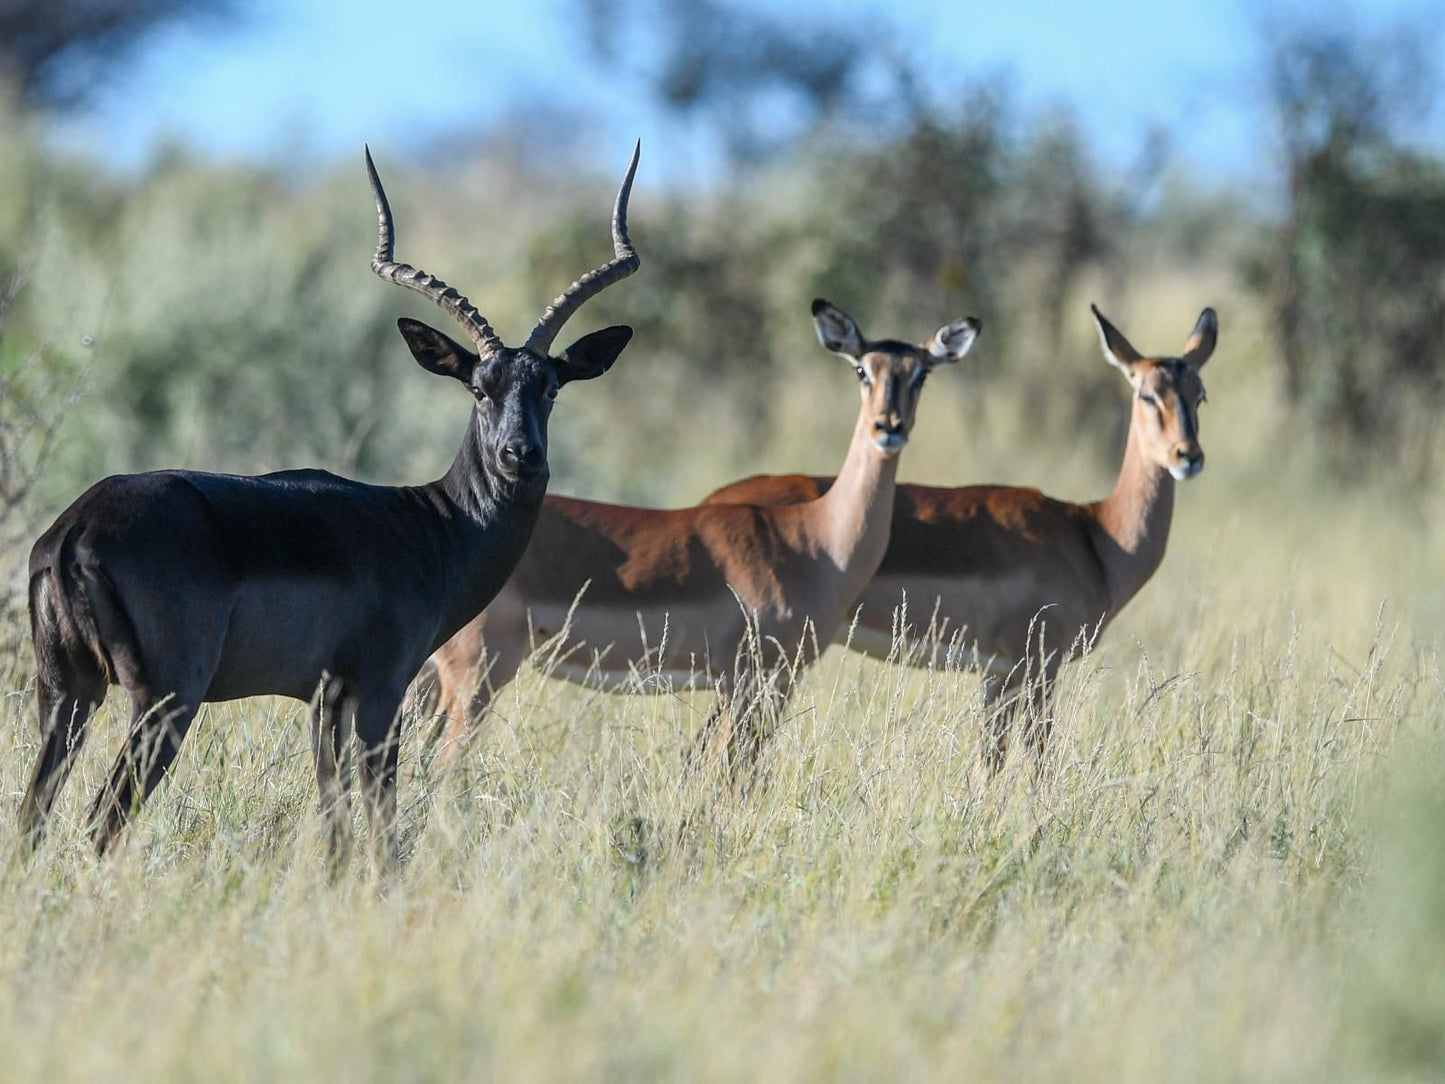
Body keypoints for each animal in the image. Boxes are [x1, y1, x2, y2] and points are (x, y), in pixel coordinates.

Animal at [19, 144, 644, 861]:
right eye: (478, 387)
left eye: (550, 387)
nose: (521, 454)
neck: (434, 525)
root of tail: (75, 529)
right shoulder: (381, 690)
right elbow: (383, 822)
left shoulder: (324, 700)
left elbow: (334, 823)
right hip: (163, 700)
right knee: (103, 819)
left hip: (65, 694)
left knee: (33, 816)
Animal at [421, 302, 982, 768]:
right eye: (862, 370)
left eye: (922, 375)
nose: (889, 427)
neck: (816, 541)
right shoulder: (752, 682)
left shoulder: (768, 683)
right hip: (474, 680)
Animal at [693, 302, 1213, 768]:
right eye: (1147, 394)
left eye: (1199, 394)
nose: (1188, 456)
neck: (1095, 534)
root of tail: (707, 504)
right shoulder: (1038, 668)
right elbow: (1039, 763)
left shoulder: (999, 675)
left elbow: (989, 765)